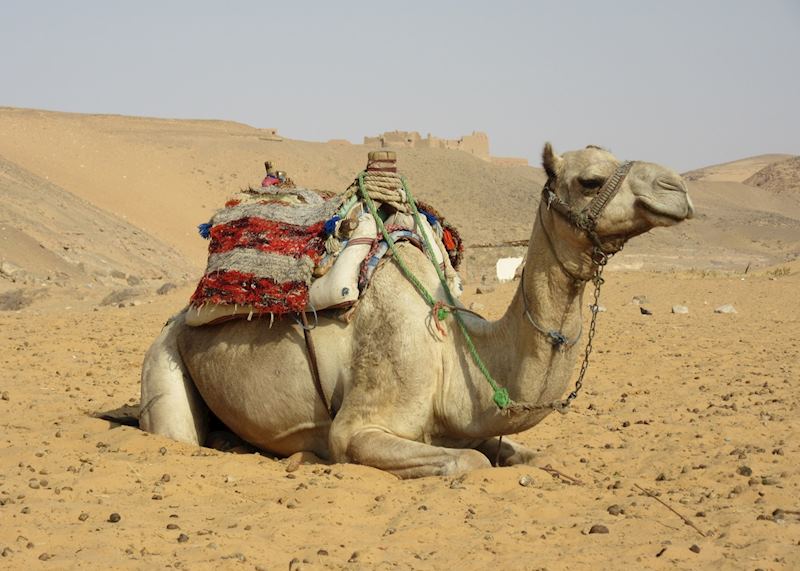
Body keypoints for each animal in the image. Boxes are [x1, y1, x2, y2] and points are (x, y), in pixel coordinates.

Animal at [140, 143, 694, 478]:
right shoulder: (361, 426)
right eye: (590, 180)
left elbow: (526, 457)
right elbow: (466, 462)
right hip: (163, 358)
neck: (454, 351)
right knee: (175, 432)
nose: (676, 188)